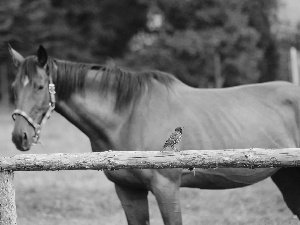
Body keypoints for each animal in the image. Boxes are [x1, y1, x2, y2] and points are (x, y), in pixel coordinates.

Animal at [8, 44, 300, 225]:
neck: (126, 116)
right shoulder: (128, 191)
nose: (19, 137)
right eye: (14, 87)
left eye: (39, 86)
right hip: (286, 176)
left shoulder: (166, 187)